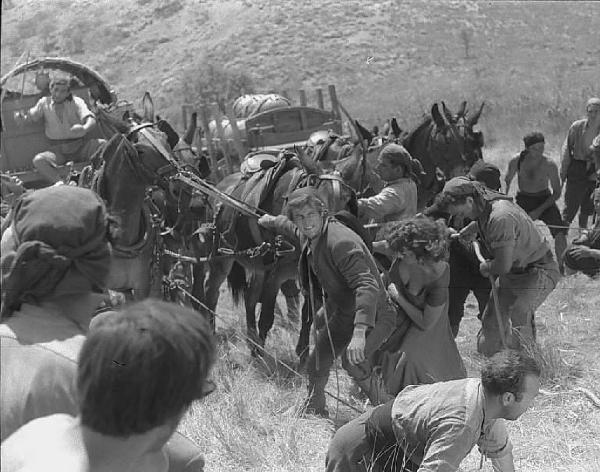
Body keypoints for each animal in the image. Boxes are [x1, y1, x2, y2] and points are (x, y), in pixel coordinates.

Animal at [202, 149, 358, 352]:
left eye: (347, 199)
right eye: (316, 199)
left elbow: (308, 317)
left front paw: (302, 353)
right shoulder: (275, 274)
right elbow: (267, 317)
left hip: (259, 266)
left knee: (250, 298)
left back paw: (253, 344)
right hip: (223, 258)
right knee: (212, 291)